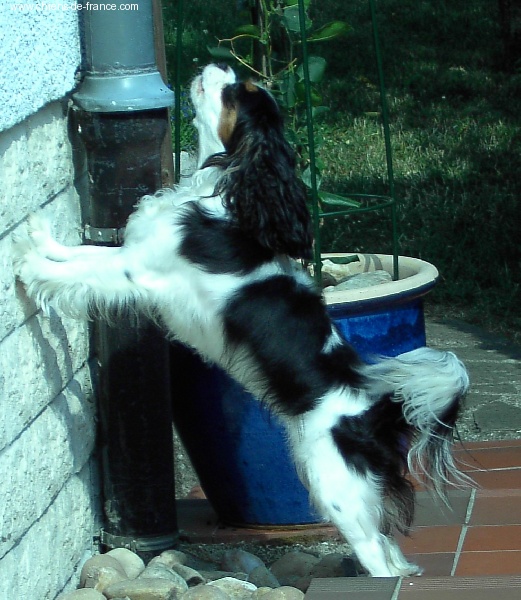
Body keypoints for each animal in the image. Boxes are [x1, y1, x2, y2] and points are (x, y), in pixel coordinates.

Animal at [13, 63, 470, 577]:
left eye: (238, 91)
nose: (223, 65)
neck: (222, 182)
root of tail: (375, 411)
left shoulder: (141, 270)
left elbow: (86, 267)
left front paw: (32, 265)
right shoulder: (136, 256)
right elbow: (83, 253)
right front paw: (40, 238)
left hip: (337, 488)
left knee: (382, 563)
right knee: (393, 554)